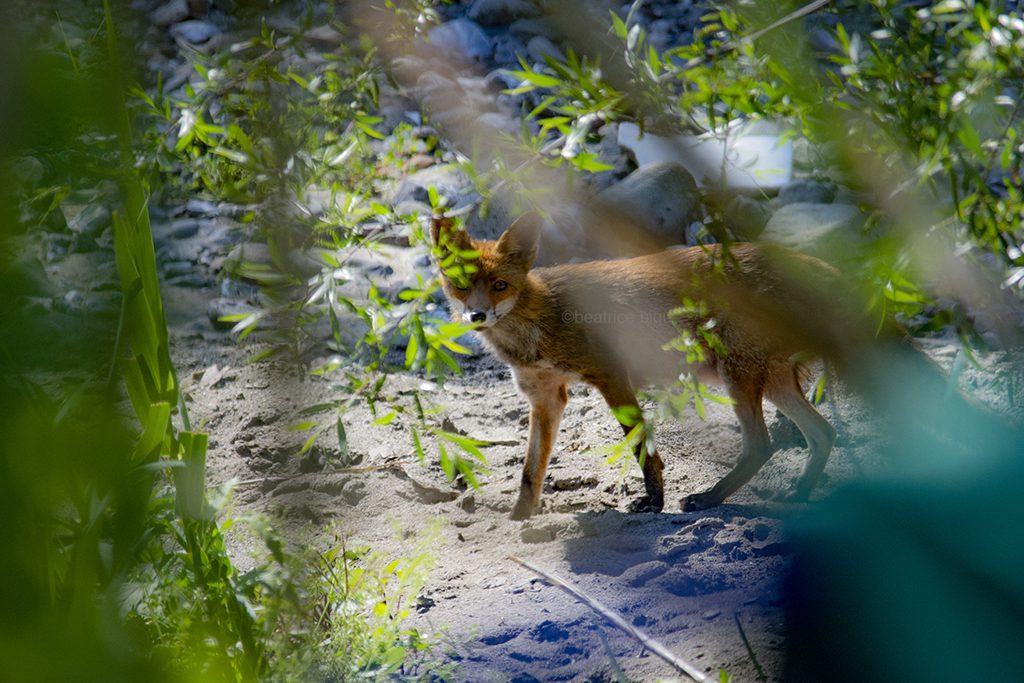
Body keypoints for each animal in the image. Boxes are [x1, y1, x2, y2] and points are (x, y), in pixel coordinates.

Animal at [430, 210, 839, 520]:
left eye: (499, 285)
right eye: (462, 285)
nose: (477, 316)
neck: (539, 321)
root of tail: (804, 262)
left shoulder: (610, 375)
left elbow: (642, 446)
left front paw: (654, 502)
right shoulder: (545, 396)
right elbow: (530, 472)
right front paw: (519, 518)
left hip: (737, 375)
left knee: (761, 445)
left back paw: (709, 498)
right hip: (772, 381)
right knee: (823, 432)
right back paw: (798, 495)